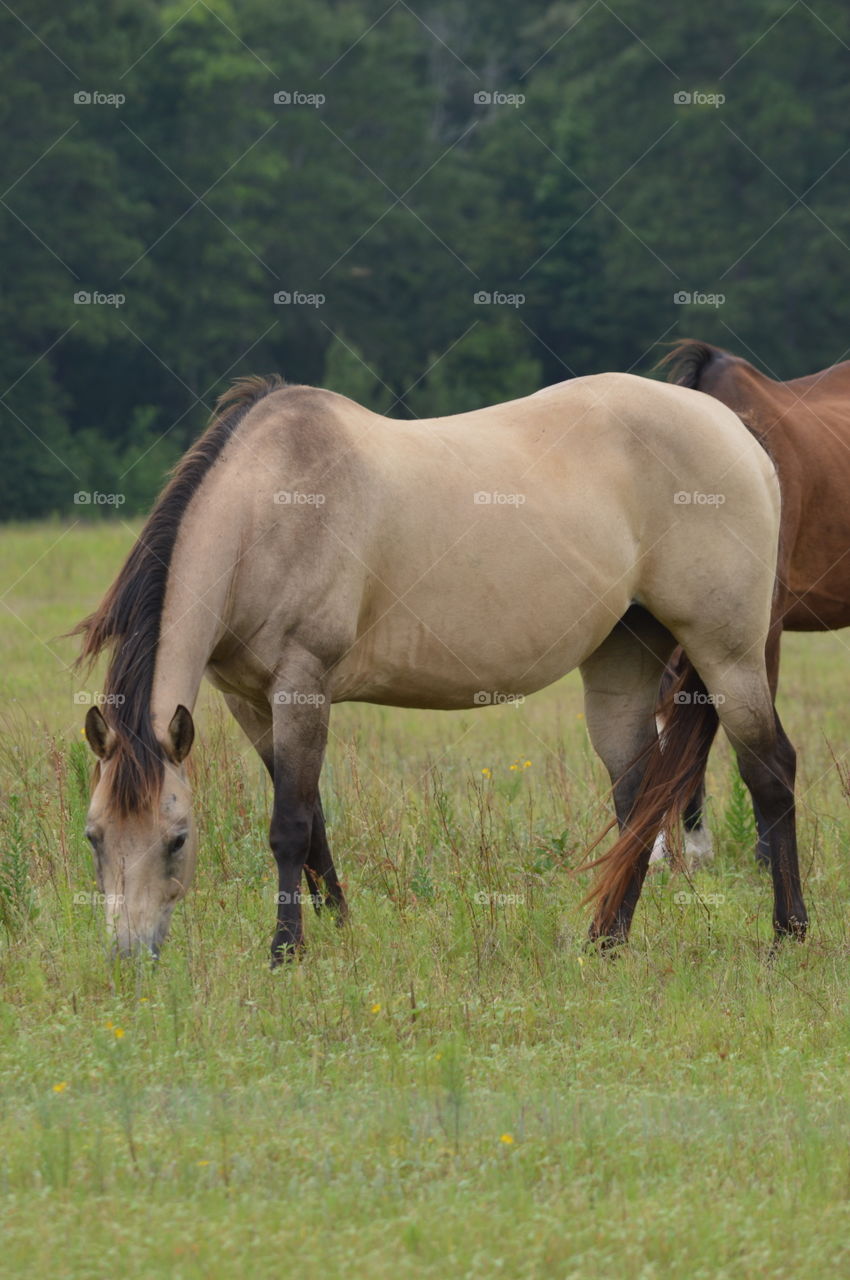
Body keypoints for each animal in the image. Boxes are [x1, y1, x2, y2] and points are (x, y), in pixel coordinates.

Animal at [73, 371, 806, 963]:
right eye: (94, 838)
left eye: (177, 839)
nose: (130, 956)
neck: (273, 512)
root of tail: (739, 434)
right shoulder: (249, 702)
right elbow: (313, 821)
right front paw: (340, 929)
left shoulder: (302, 687)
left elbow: (289, 827)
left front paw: (286, 952)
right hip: (626, 655)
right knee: (638, 798)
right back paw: (607, 941)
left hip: (728, 653)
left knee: (769, 773)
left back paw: (788, 933)